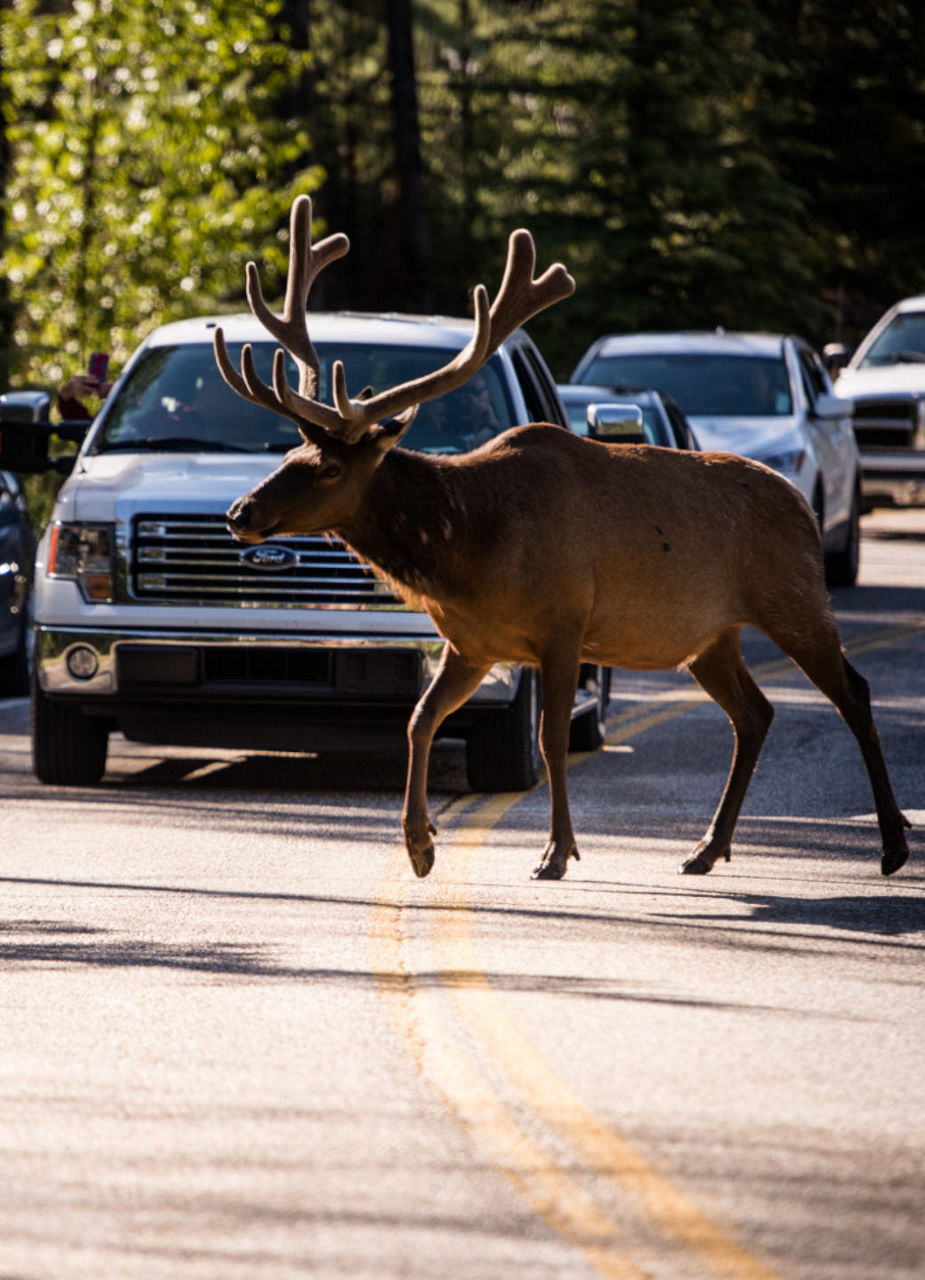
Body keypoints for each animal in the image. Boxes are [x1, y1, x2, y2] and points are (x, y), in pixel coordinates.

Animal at [214, 197, 910, 880]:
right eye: (294, 451)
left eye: (330, 468)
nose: (240, 512)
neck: (469, 550)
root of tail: (803, 506)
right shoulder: (472, 644)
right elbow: (418, 720)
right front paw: (419, 846)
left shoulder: (563, 621)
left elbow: (550, 738)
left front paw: (556, 852)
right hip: (711, 635)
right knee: (755, 713)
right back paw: (707, 849)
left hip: (795, 596)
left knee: (853, 693)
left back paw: (892, 845)